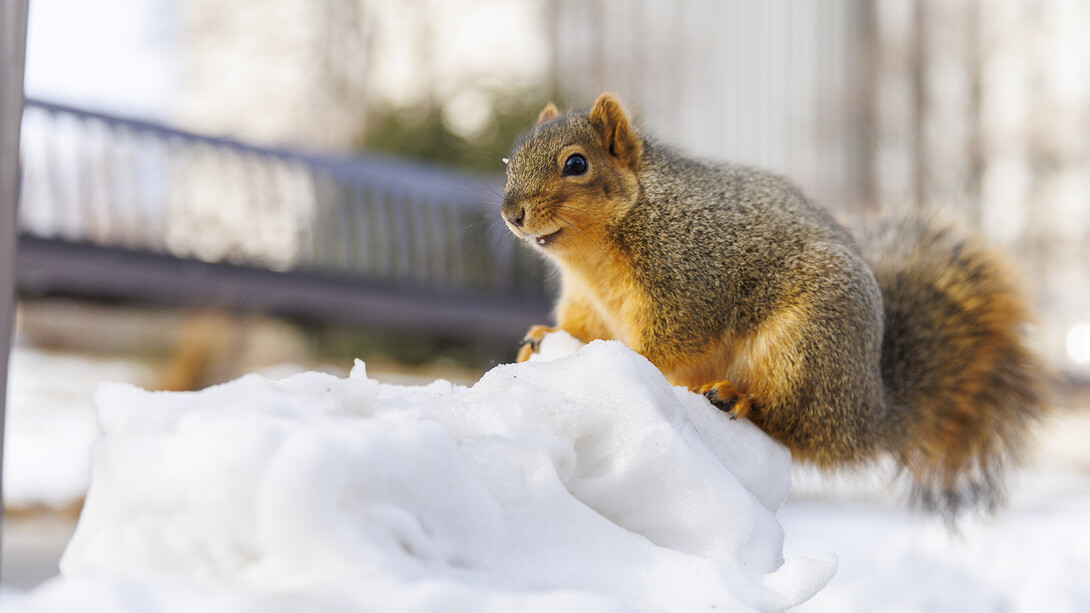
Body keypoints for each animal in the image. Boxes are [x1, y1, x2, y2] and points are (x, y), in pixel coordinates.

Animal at [501, 93, 1046, 517]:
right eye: (513, 157)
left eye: (576, 164)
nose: (511, 213)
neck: (596, 256)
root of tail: (870, 414)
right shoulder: (587, 300)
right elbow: (580, 325)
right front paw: (545, 339)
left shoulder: (690, 278)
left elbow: (670, 340)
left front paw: (629, 359)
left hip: (802, 349)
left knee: (787, 421)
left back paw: (735, 397)